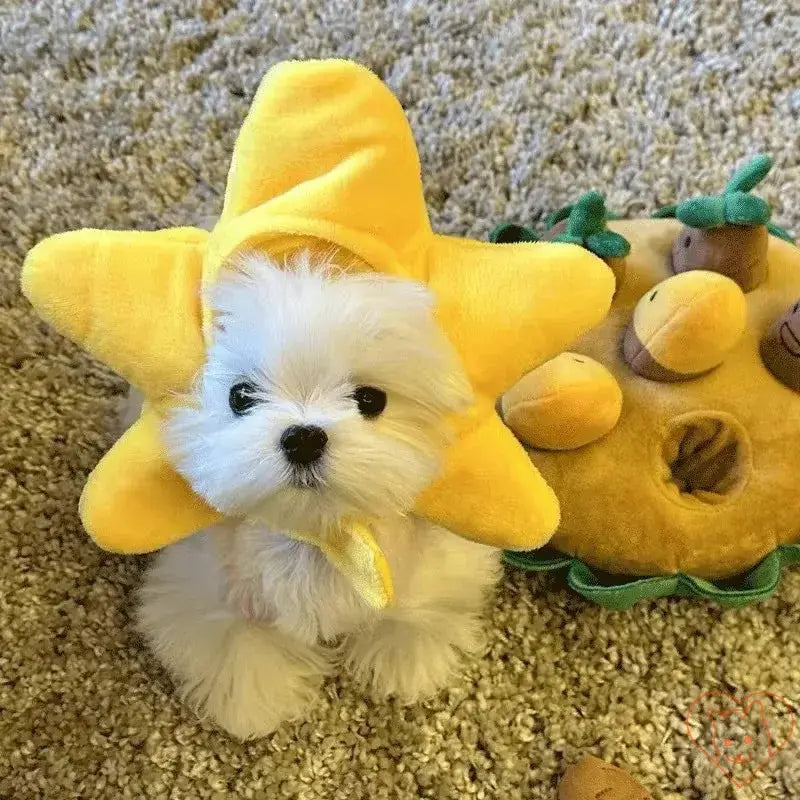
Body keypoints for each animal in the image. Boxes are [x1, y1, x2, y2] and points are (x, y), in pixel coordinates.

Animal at [135, 253, 504, 740]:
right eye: (240, 396)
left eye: (370, 399)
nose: (304, 437)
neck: (321, 537)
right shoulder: (203, 588)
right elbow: (235, 639)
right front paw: (253, 703)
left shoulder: (435, 565)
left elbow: (416, 608)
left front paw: (405, 665)